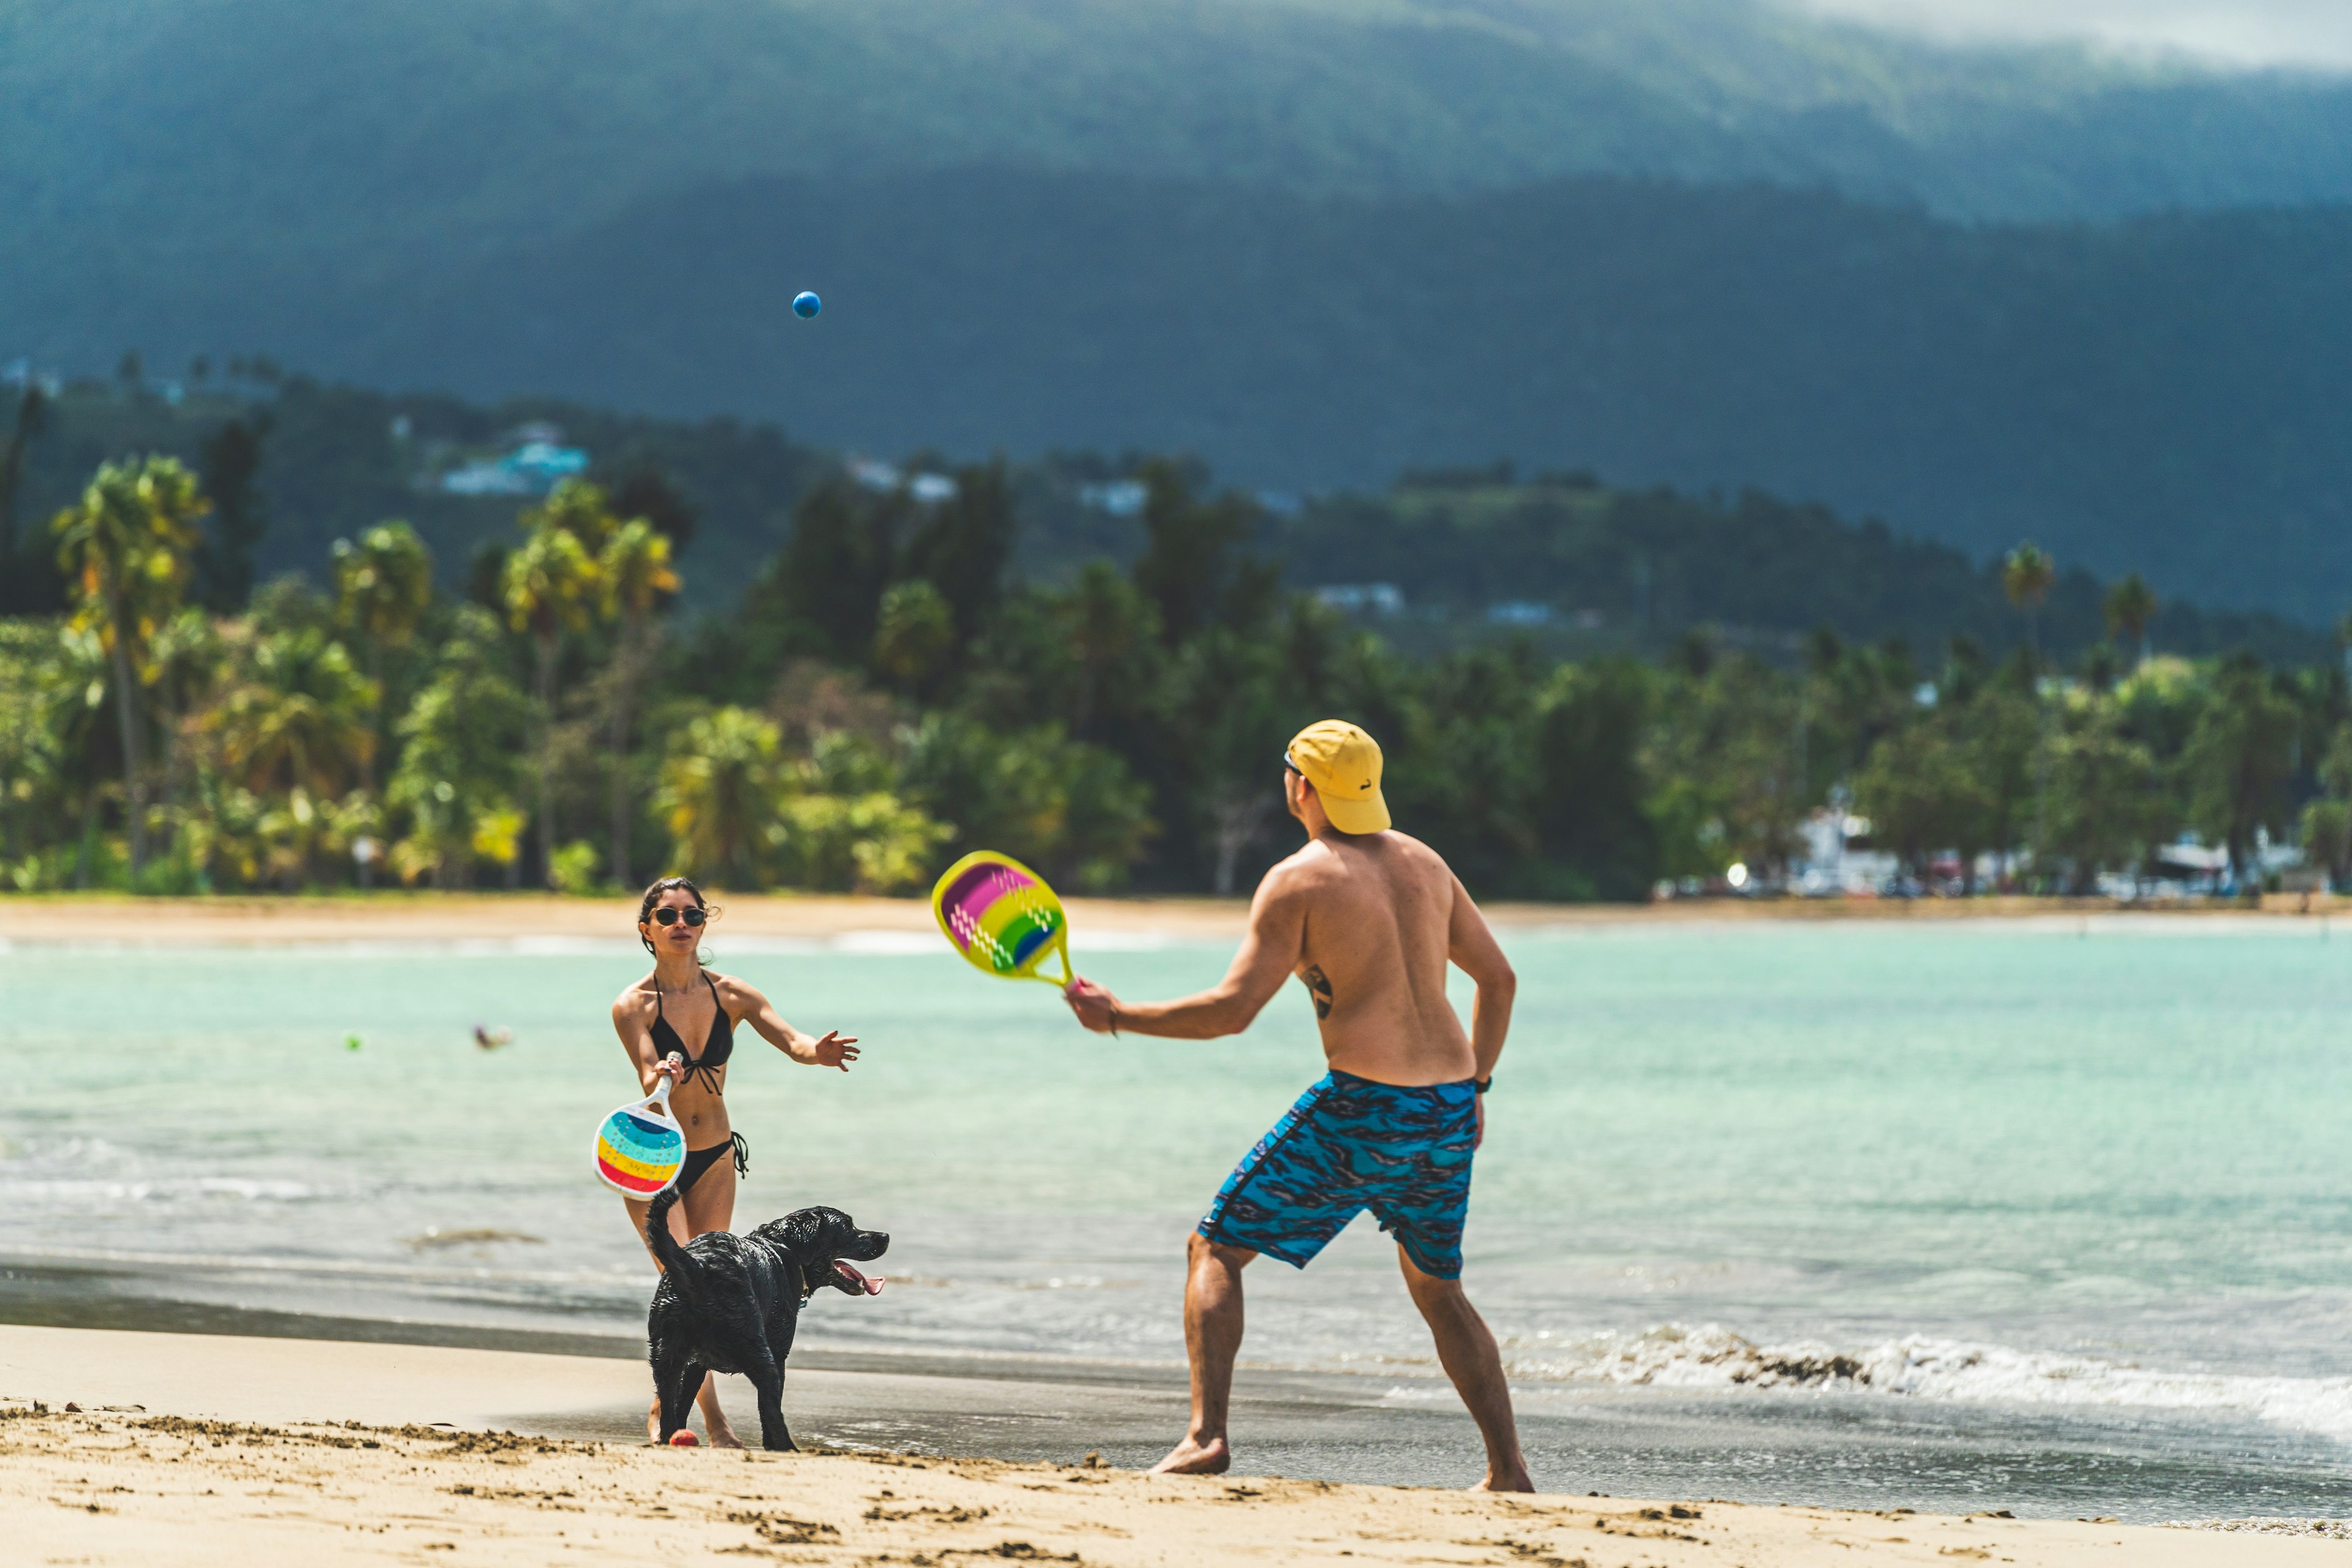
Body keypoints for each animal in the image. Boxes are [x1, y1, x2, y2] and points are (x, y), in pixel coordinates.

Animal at [639, 1189, 884, 1448]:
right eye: (847, 1227)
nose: (885, 1237)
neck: (785, 1249)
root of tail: (698, 1266)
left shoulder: (695, 1365)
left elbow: (682, 1403)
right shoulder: (778, 1354)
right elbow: (769, 1408)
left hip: (666, 1353)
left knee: (667, 1401)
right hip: (758, 1351)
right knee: (772, 1407)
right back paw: (790, 1449)